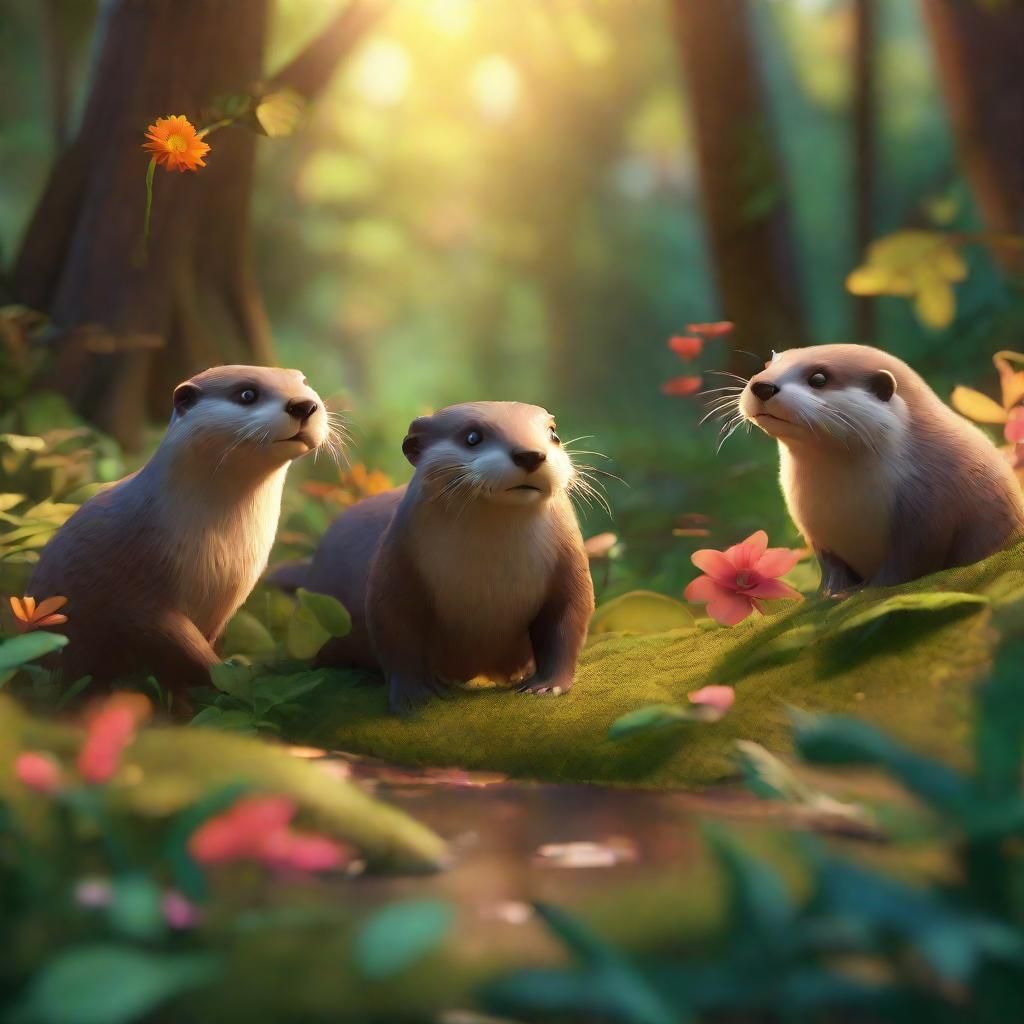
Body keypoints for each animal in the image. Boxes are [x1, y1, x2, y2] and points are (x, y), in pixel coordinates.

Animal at [28, 365, 332, 706]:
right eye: (247, 394)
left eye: (304, 383)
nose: (304, 405)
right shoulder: (141, 596)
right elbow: (189, 653)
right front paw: (236, 684)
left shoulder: (220, 612)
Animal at [292, 402, 595, 713]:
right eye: (472, 437)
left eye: (553, 434)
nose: (531, 454)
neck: (487, 576)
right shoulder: (396, 563)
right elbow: (395, 632)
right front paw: (415, 696)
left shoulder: (569, 565)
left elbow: (567, 623)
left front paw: (546, 685)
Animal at [739, 344, 1024, 593]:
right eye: (766, 366)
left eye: (818, 378)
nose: (762, 386)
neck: (843, 505)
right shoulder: (814, 530)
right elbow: (831, 566)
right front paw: (830, 592)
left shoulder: (929, 507)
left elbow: (908, 562)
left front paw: (867, 590)